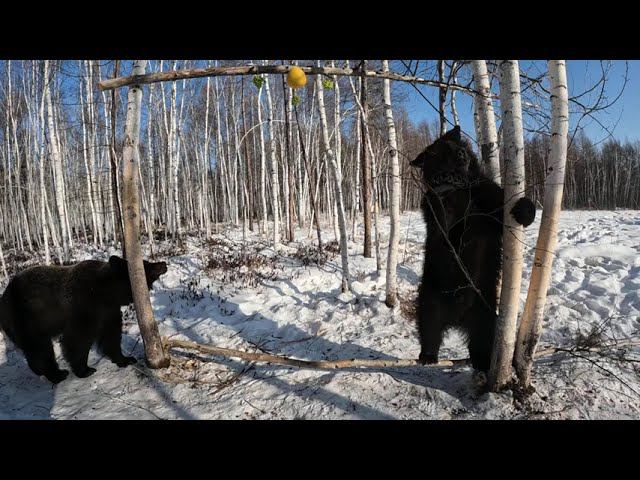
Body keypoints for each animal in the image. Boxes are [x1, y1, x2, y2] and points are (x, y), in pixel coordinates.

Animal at [0, 256, 168, 384]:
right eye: (148, 264)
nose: (164, 264)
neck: (106, 293)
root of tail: (4, 297)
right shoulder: (84, 306)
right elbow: (77, 339)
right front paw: (85, 369)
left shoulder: (108, 311)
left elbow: (111, 335)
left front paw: (125, 359)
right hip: (27, 319)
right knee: (39, 348)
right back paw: (56, 373)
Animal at [410, 126, 536, 372]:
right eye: (442, 151)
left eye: (459, 146)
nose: (462, 154)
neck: (460, 187)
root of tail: (457, 318)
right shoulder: (436, 211)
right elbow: (443, 223)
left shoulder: (487, 202)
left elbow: (501, 209)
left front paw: (524, 211)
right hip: (430, 299)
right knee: (429, 329)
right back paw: (428, 355)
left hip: (484, 315)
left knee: (481, 340)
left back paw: (482, 362)